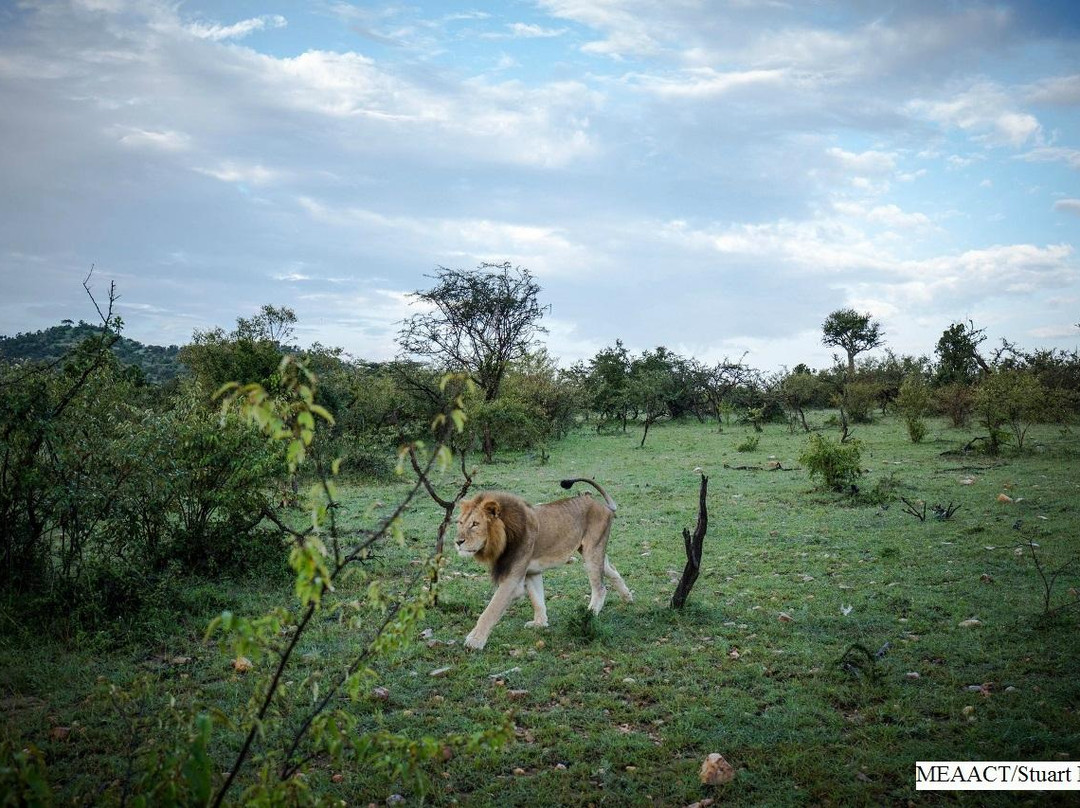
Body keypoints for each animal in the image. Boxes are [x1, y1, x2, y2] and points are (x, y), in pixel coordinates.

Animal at [453, 479, 630, 648]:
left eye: (475, 524)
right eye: (460, 523)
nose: (458, 542)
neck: (503, 537)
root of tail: (602, 505)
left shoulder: (512, 581)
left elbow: (491, 610)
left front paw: (475, 641)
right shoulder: (531, 572)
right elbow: (537, 599)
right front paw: (540, 623)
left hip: (592, 552)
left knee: (600, 588)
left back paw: (588, 615)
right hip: (593, 551)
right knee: (611, 569)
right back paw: (628, 597)